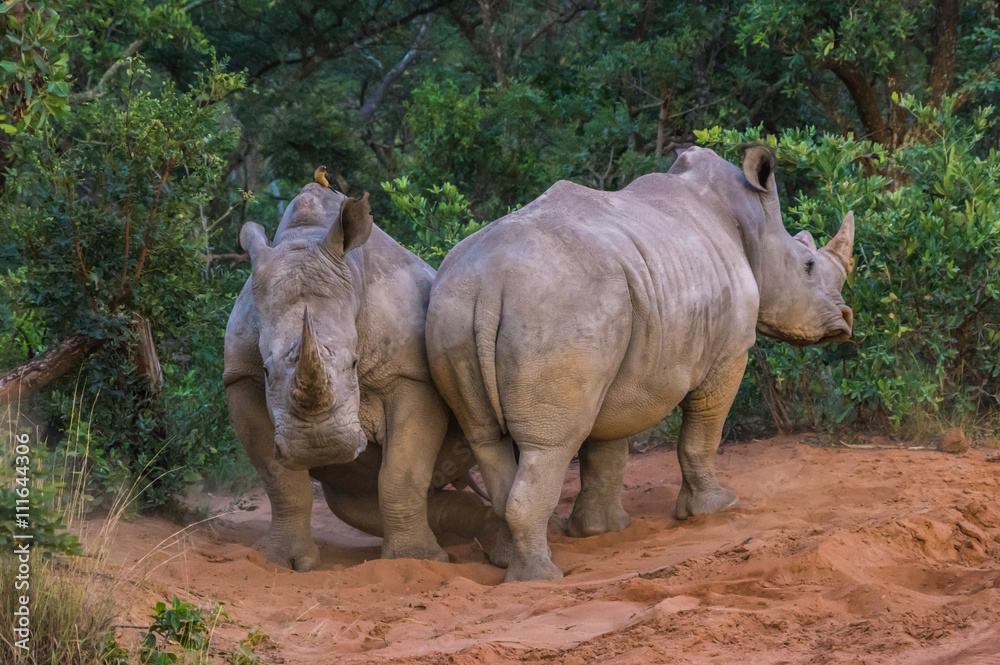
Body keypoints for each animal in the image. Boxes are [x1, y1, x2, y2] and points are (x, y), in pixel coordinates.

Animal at [224, 183, 489, 571]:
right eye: (267, 370)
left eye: (353, 364)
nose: (320, 447)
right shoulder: (241, 377)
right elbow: (280, 480)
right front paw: (282, 561)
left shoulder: (410, 376)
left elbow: (401, 473)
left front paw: (414, 560)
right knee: (353, 503)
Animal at [425, 146, 856, 582]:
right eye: (807, 266)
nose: (845, 320)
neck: (756, 227)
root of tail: (488, 281)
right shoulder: (729, 352)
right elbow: (703, 432)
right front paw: (716, 508)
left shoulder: (622, 362)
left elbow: (606, 447)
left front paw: (600, 531)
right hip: (556, 307)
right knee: (550, 444)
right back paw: (540, 578)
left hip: (456, 312)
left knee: (486, 438)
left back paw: (507, 562)